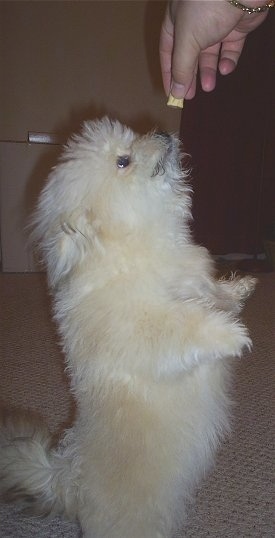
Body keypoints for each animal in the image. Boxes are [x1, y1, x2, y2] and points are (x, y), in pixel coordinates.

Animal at [0, 118, 258, 536]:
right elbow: (183, 326)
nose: (165, 133)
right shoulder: (142, 331)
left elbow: (212, 293)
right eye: (123, 161)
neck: (136, 245)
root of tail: (65, 480)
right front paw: (230, 334)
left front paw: (240, 288)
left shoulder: (196, 282)